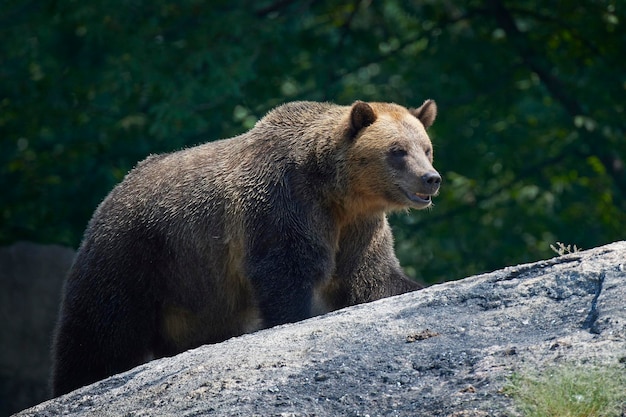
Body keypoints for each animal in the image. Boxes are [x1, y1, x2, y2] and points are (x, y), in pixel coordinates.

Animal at [50, 99, 438, 394]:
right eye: (397, 151)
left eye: (426, 148)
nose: (431, 179)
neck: (338, 193)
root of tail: (114, 193)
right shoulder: (284, 204)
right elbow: (286, 271)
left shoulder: (359, 227)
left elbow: (370, 278)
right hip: (136, 254)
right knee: (99, 329)